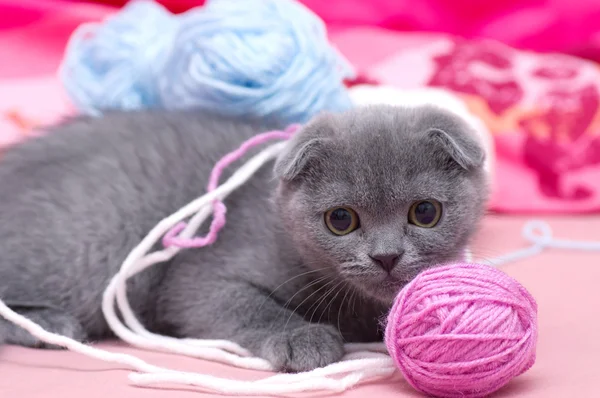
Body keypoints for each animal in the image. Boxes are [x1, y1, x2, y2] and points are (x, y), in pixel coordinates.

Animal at [0, 104, 488, 372]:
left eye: (424, 212)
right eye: (341, 220)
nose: (386, 256)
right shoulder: (199, 276)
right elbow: (243, 304)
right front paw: (300, 337)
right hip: (93, 241)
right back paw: (52, 324)